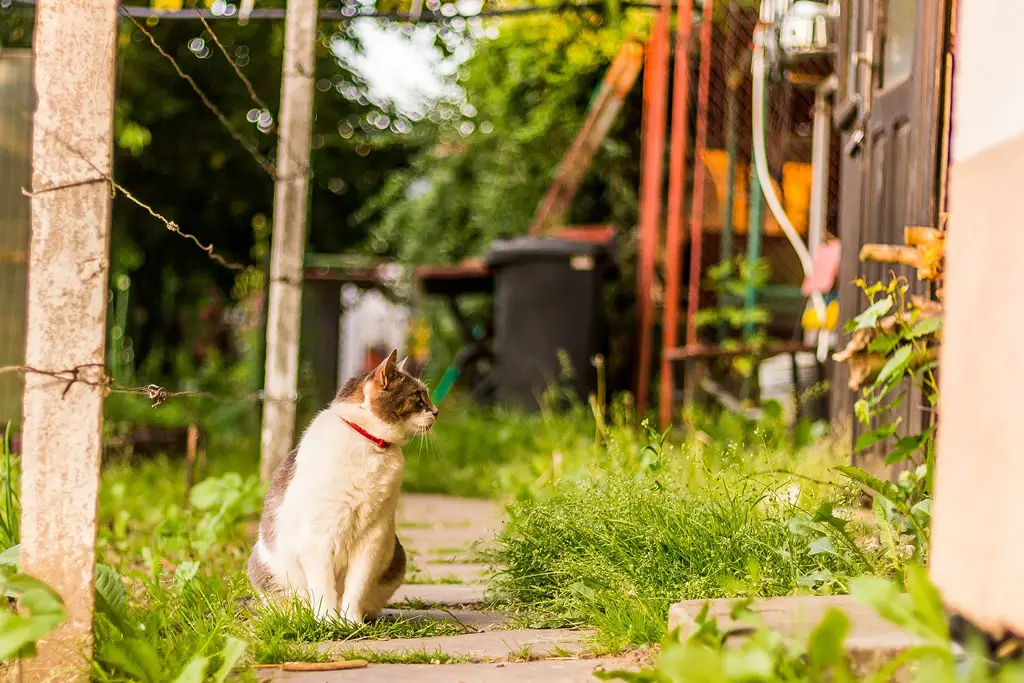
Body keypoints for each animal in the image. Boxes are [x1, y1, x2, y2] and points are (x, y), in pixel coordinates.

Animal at [249, 350, 438, 622]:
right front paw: (328, 621)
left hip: (396, 557)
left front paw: (351, 623)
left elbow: (356, 588)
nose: (436, 411)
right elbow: (323, 588)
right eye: (418, 397)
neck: (369, 445)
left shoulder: (373, 538)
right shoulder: (319, 537)